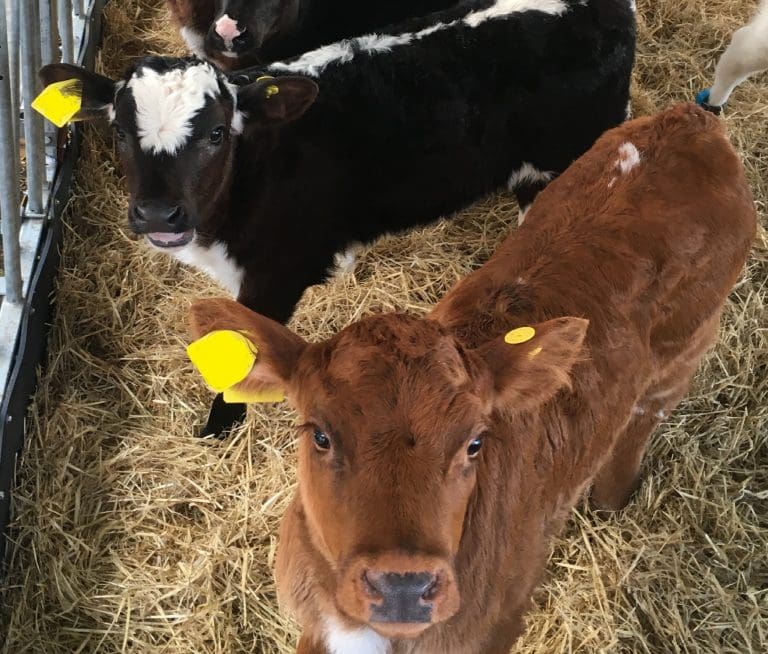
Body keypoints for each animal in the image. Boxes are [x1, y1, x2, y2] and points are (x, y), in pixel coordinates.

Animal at [39, 0, 636, 436]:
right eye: (119, 129)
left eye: (215, 133)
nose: (159, 214)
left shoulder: (276, 273)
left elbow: (243, 351)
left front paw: (219, 427)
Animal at [186, 104, 756, 653]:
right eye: (319, 435)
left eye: (475, 443)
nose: (402, 586)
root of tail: (691, 119)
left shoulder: (498, 624)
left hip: (687, 346)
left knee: (645, 413)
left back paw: (613, 498)